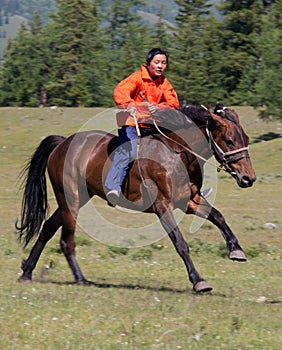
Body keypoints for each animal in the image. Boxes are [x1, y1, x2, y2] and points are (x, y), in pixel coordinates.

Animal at [16, 104, 256, 292]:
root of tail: (62, 143)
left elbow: (218, 216)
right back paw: (81, 279)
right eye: (229, 140)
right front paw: (198, 281)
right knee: (67, 240)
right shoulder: (162, 206)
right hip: (71, 200)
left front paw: (235, 249)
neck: (177, 153)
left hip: (75, 199)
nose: (248, 178)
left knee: (48, 228)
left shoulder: (188, 201)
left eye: (246, 139)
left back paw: (27, 272)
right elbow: (180, 243)